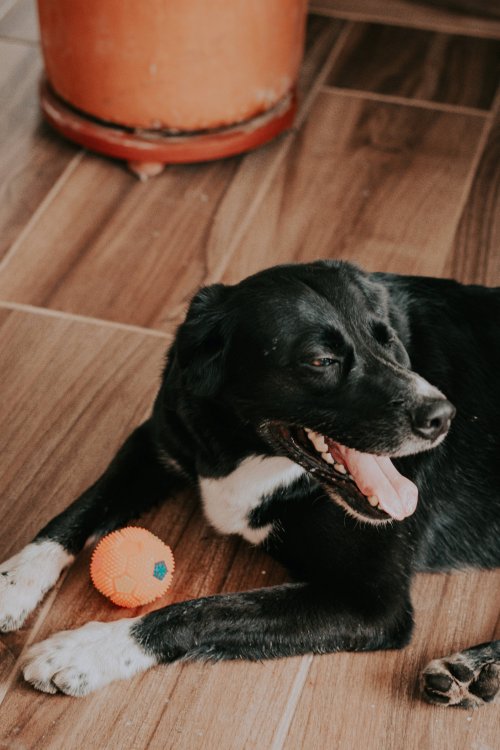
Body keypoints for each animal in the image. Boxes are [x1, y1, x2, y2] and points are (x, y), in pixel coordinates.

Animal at [0, 262, 500, 708]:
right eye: (321, 361)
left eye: (390, 340)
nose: (442, 417)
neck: (248, 454)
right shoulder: (156, 441)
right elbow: (79, 508)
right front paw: (14, 581)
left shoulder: (372, 602)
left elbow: (204, 609)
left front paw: (87, 650)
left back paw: (472, 668)